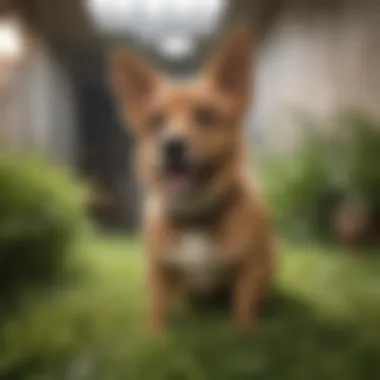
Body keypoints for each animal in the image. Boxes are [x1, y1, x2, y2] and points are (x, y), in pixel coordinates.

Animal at [110, 26, 276, 332]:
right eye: (154, 121)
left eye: (206, 115)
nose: (171, 145)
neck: (195, 217)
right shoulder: (157, 270)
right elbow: (156, 307)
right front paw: (153, 336)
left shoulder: (251, 268)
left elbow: (244, 305)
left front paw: (246, 332)